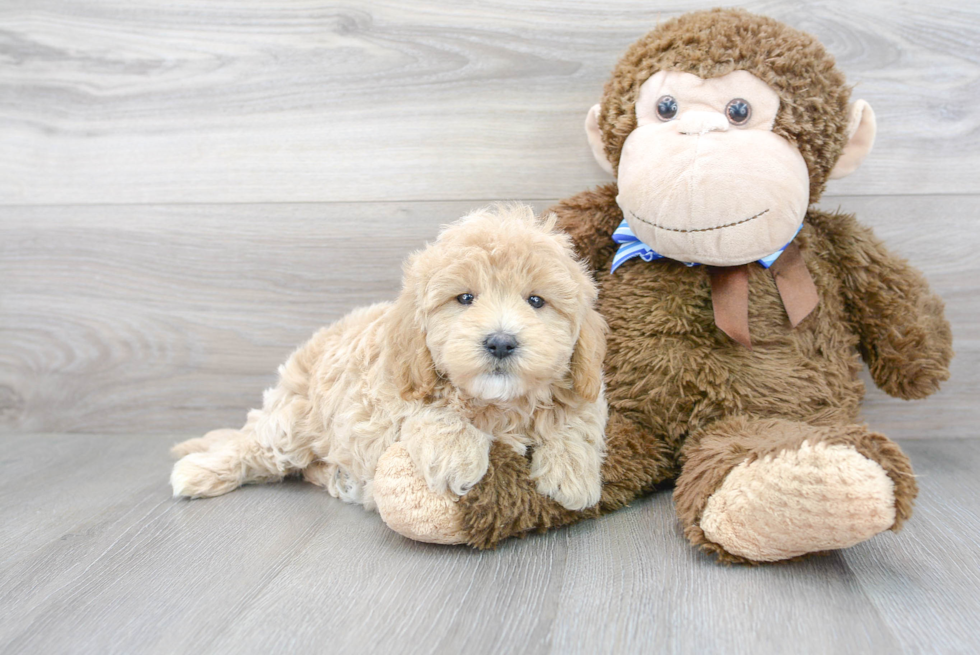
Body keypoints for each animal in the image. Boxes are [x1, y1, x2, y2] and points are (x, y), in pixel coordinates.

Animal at [172, 205, 608, 516]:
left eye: (536, 300)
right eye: (465, 298)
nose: (501, 343)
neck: (497, 404)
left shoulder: (585, 384)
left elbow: (577, 420)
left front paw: (572, 473)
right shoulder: (390, 393)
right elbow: (436, 410)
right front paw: (457, 457)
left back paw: (339, 477)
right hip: (295, 419)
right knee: (253, 446)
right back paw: (198, 471)